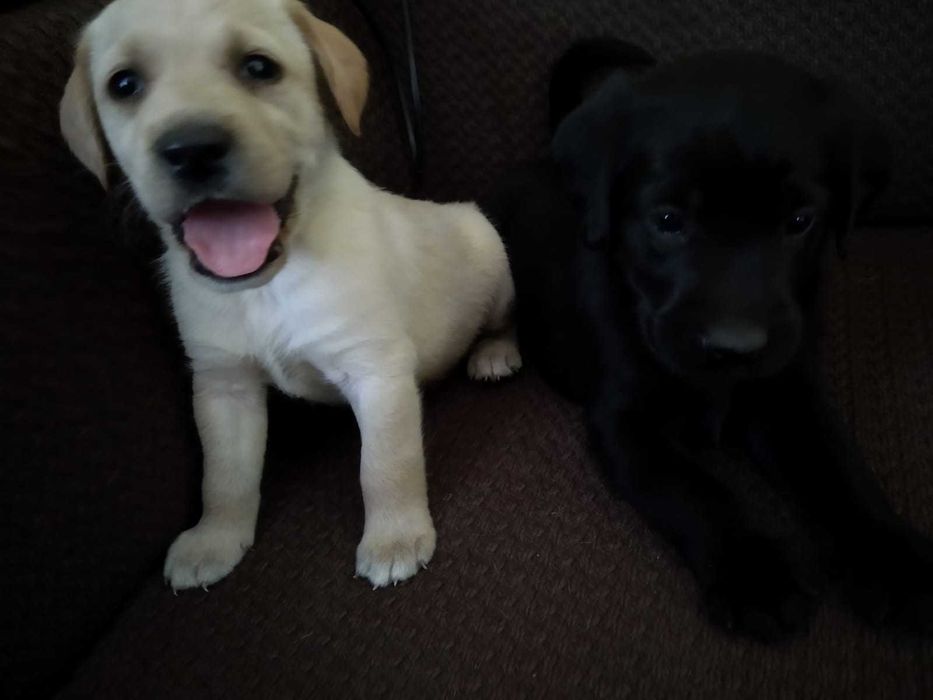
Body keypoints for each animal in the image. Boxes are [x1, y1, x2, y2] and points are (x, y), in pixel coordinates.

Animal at [61, 0, 520, 592]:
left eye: (259, 68)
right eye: (124, 84)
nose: (191, 150)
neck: (267, 286)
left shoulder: (376, 371)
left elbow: (385, 465)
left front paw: (395, 537)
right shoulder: (223, 386)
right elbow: (223, 477)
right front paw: (214, 538)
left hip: (492, 255)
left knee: (504, 319)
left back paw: (495, 353)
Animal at [488, 38, 932, 640]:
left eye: (800, 220)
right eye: (667, 220)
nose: (734, 347)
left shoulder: (790, 392)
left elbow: (839, 469)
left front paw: (894, 560)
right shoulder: (624, 423)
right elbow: (696, 490)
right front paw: (754, 575)